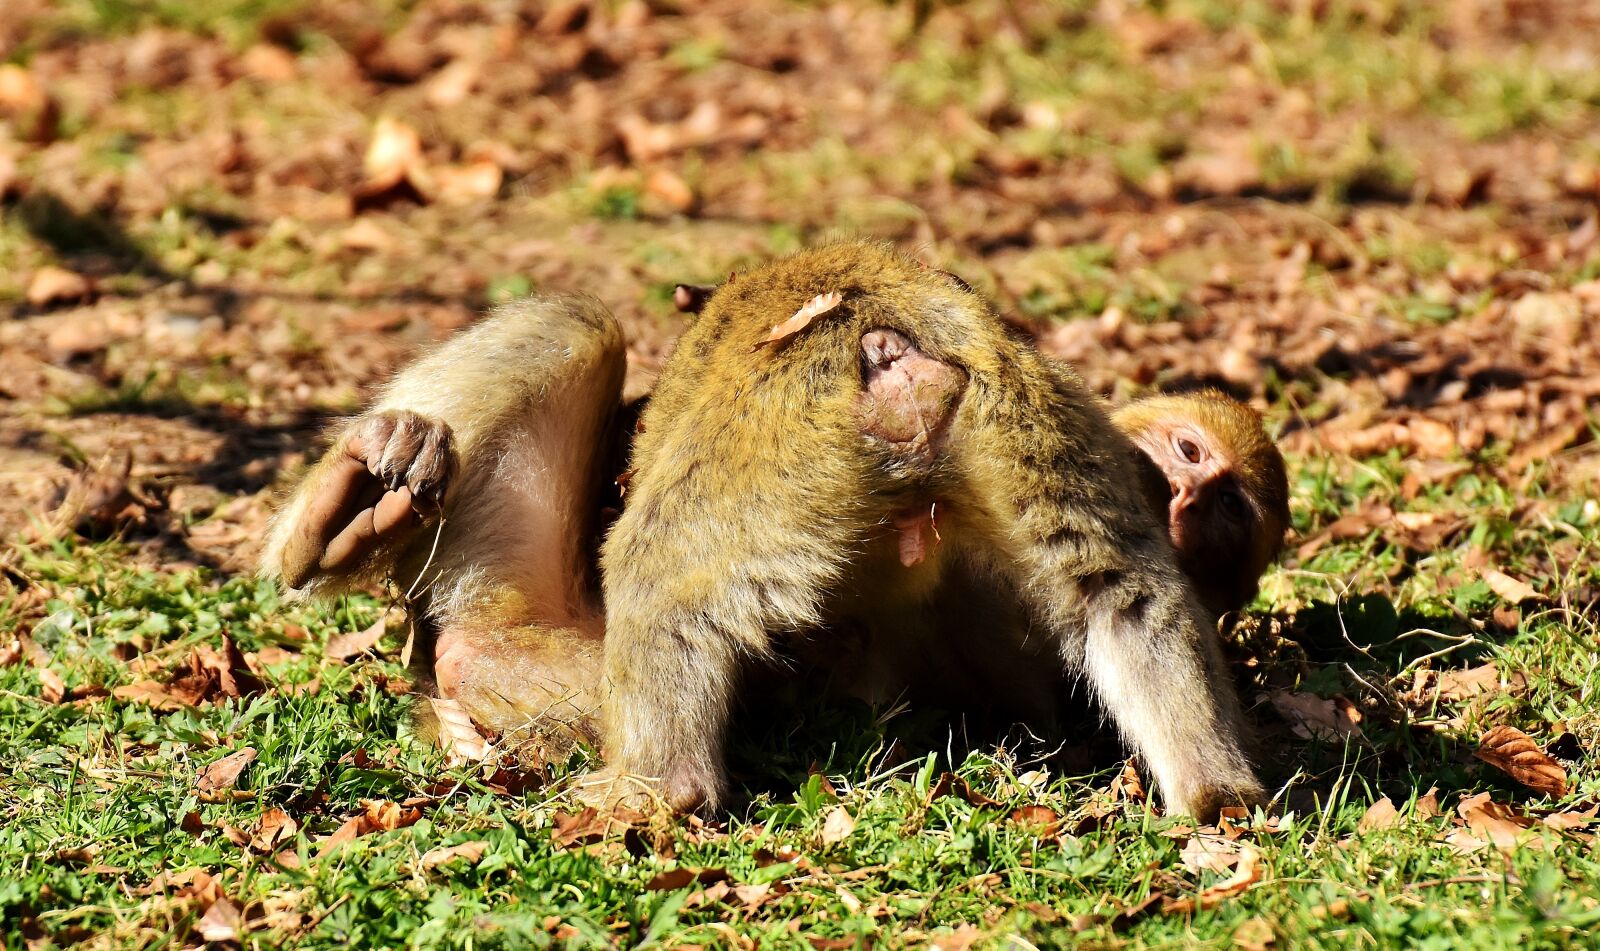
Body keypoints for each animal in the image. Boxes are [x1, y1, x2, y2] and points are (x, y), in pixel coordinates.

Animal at [262, 243, 1275, 821]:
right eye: (1184, 457)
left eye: (1228, 510)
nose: (1186, 498)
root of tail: (910, 359)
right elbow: (1121, 597)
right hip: (1016, 415)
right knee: (1124, 595)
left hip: (760, 453)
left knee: (645, 552)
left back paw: (651, 787)